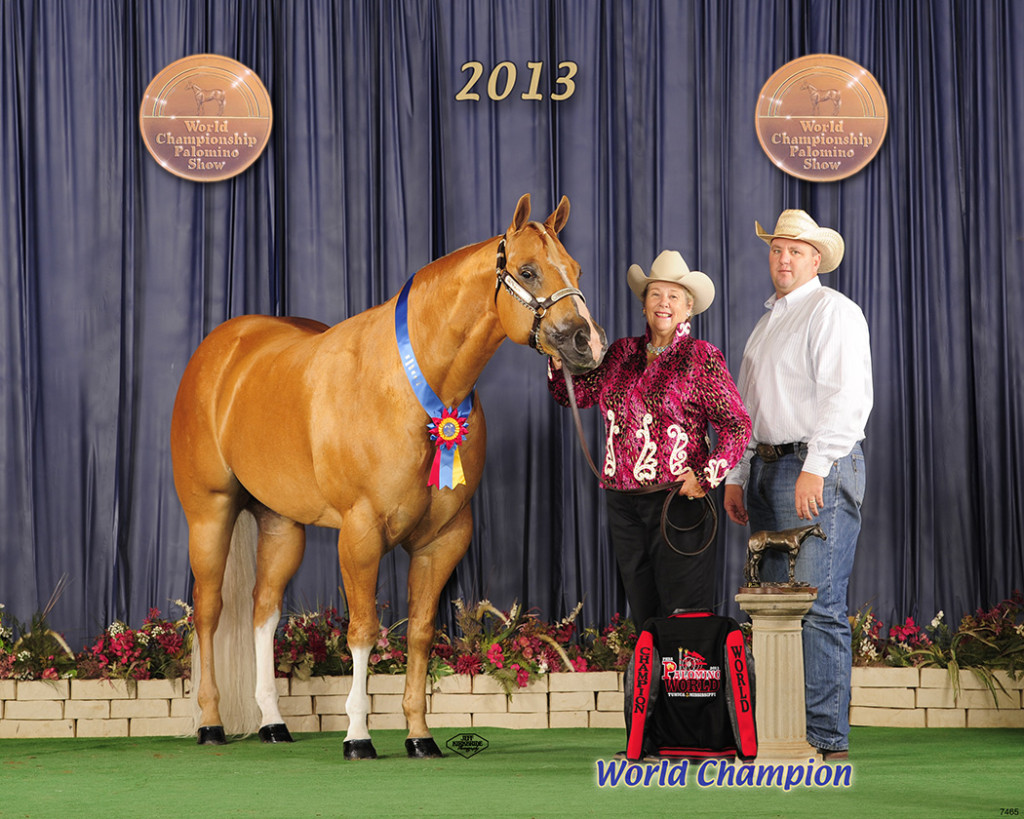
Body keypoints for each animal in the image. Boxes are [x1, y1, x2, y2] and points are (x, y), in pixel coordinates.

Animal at [170, 194, 607, 758]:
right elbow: (363, 631)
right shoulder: (360, 534)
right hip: (209, 512)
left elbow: (420, 632)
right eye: (528, 270)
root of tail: (223, 347)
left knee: (262, 612)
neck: (411, 387)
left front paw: (420, 735)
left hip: (281, 524)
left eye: (575, 268)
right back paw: (210, 724)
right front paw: (358, 736)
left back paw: (273, 723)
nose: (587, 343)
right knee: (208, 611)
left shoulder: (444, 538)